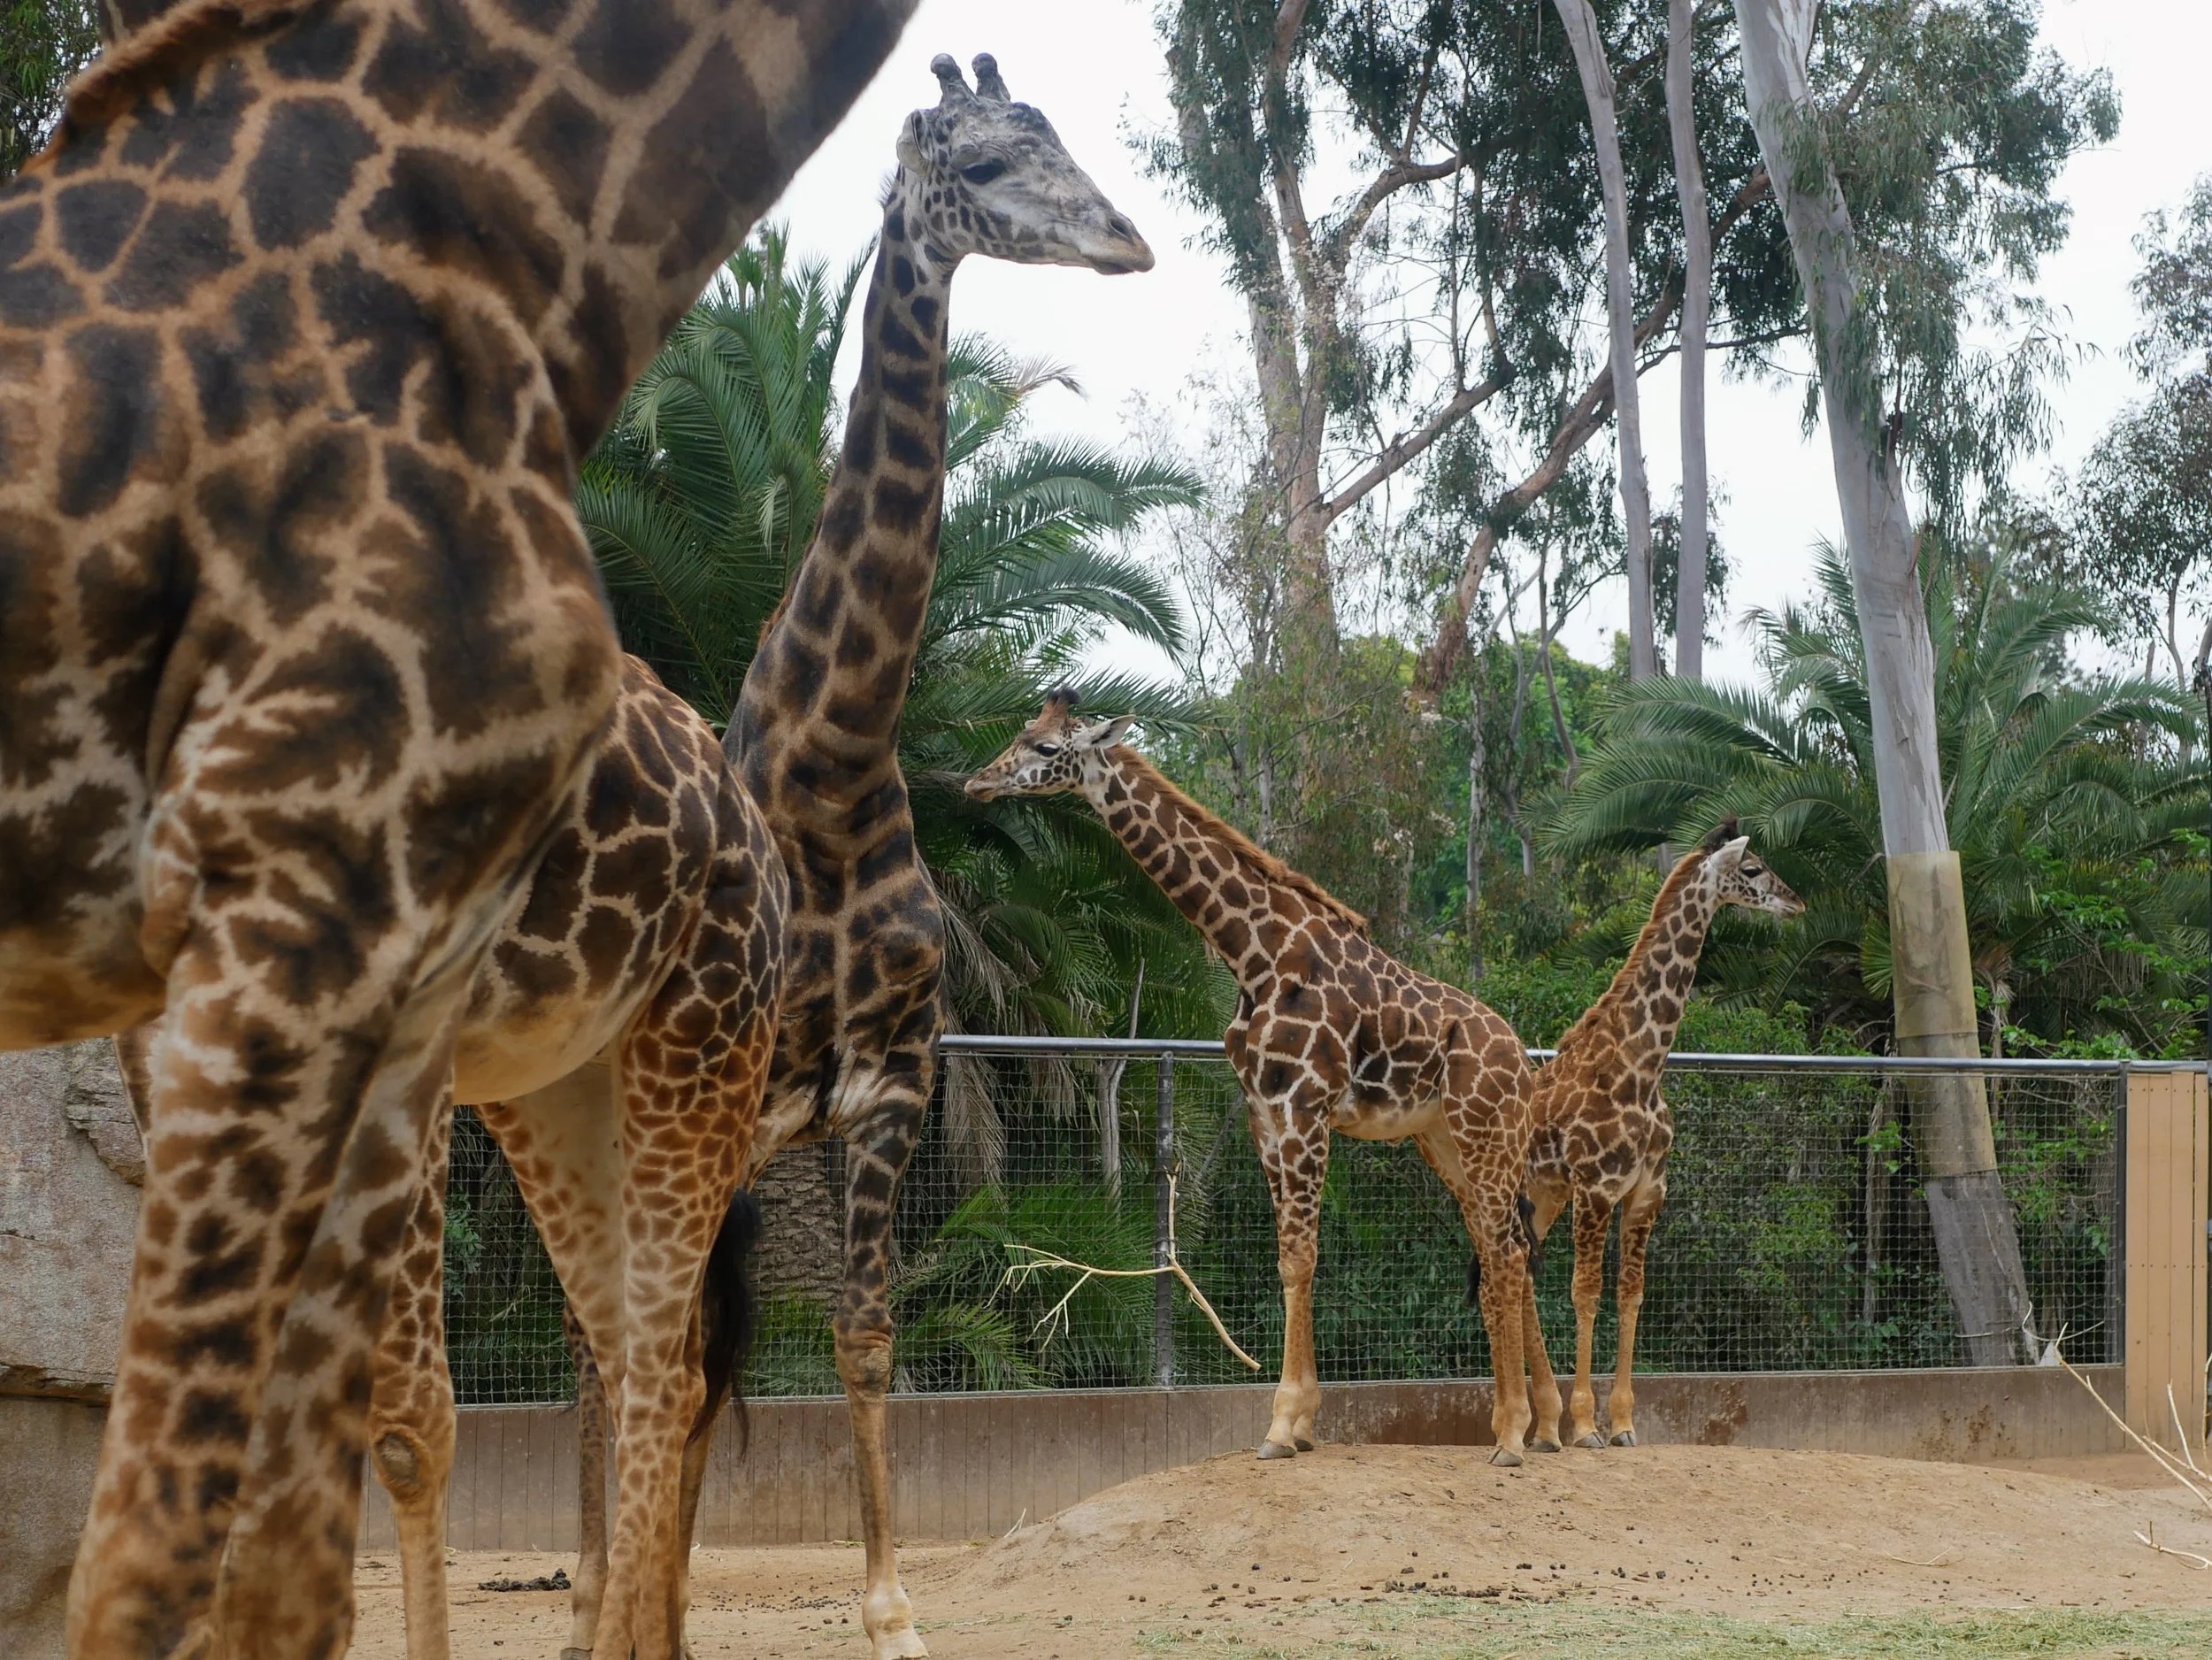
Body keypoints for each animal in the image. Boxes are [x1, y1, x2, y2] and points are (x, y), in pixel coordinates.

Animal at [113, 649, 790, 1660]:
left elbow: (407, 1424)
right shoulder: (164, 1027)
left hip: (710, 1024)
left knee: (667, 1370)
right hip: (559, 1087)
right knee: (641, 1356)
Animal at [559, 56, 1156, 1660]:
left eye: (1063, 137)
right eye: (991, 159)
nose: (1130, 243)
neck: (830, 776)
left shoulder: (886, 1092)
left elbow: (865, 1335)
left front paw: (890, 1610)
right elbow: (676, 1361)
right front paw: (636, 1604)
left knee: (687, 1357)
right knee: (611, 1352)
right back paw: (592, 1596)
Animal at [965, 693, 1542, 1464]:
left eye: (1045, 746)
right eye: (1023, 732)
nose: (977, 782)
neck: (1252, 952)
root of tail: (1522, 1061)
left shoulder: (1303, 1107)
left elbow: (1301, 1257)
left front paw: (1282, 1425)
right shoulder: (1265, 1113)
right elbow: (1286, 1259)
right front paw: (1298, 1426)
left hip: (1486, 1132)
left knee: (1506, 1252)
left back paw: (1512, 1434)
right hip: (1445, 1141)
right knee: (1502, 1247)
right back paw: (1536, 1427)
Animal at [1517, 817, 1803, 1452]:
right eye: (1753, 869)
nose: (1797, 902)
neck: (1643, 1066)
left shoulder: (1648, 1191)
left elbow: (1631, 1294)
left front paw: (1622, 1423)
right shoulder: (1597, 1188)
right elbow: (1586, 1291)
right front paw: (1585, 1426)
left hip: (1543, 1195)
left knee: (1516, 1270)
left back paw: (1542, 1425)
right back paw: (1545, 1422)